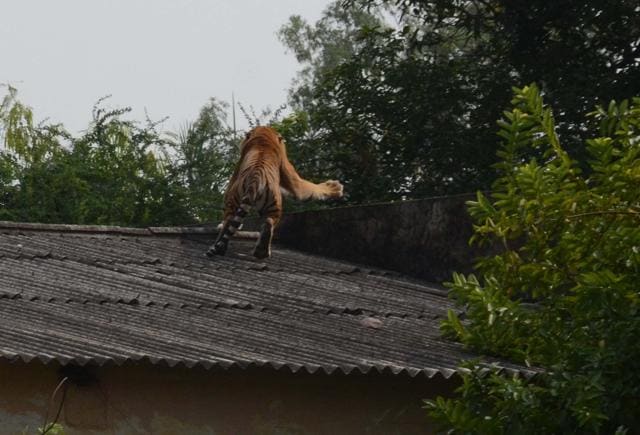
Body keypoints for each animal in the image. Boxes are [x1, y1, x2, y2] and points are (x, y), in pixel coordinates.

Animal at [206, 126, 343, 259]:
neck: (264, 137)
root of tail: (255, 179)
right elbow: (304, 188)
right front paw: (336, 188)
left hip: (241, 202)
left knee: (232, 221)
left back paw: (225, 249)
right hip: (274, 204)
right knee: (268, 222)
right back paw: (261, 252)